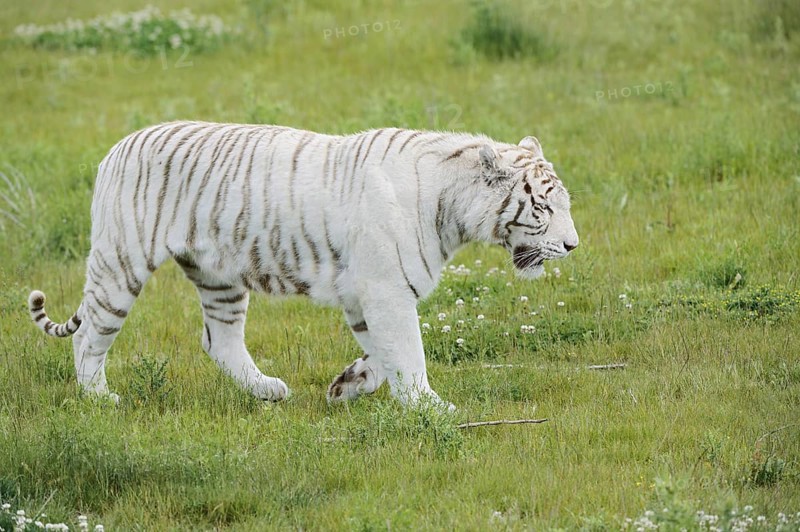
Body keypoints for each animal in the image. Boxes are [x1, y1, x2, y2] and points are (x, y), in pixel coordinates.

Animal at [27, 122, 578, 409]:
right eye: (544, 207)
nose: (573, 245)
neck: (452, 211)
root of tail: (116, 147)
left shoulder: (366, 293)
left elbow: (383, 354)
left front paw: (348, 384)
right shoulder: (386, 289)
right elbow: (409, 353)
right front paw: (430, 407)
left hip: (220, 278)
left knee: (220, 340)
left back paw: (267, 390)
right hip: (121, 264)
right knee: (89, 334)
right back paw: (100, 397)